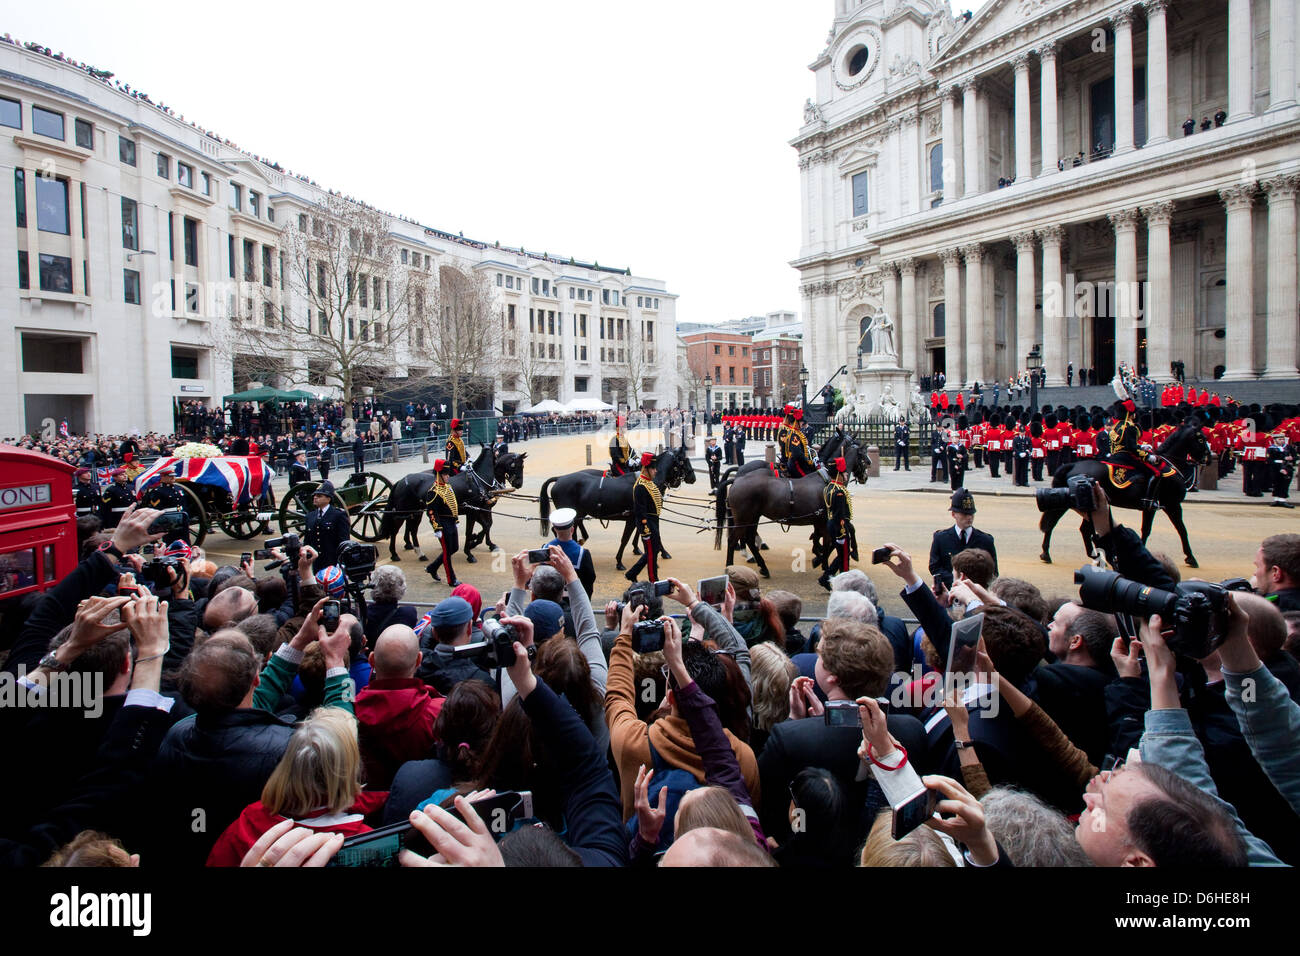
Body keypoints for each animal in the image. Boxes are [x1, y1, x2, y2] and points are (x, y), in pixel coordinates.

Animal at [379, 447, 527, 561]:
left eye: (522, 466)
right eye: (516, 466)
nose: (519, 484)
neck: (482, 480)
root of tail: (401, 480)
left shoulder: (484, 508)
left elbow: (488, 525)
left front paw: (487, 543)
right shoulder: (475, 510)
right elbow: (482, 527)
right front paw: (473, 544)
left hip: (416, 512)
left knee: (412, 529)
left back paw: (417, 550)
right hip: (402, 511)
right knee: (395, 530)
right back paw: (394, 553)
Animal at [538, 447, 696, 572]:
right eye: (683, 460)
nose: (692, 477)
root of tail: (560, 478)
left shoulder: (641, 517)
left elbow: (645, 535)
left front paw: (645, 551)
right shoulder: (635, 518)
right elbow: (627, 539)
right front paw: (620, 561)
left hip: (578, 514)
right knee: (559, 531)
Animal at [717, 434, 868, 582]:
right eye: (863, 455)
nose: (865, 476)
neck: (828, 478)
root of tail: (737, 478)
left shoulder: (822, 520)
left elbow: (827, 538)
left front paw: (819, 553)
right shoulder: (828, 519)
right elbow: (834, 539)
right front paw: (825, 561)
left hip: (753, 517)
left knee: (748, 537)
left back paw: (761, 565)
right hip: (744, 518)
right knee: (734, 539)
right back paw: (732, 566)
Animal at [1034, 421, 1206, 567]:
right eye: (1201, 439)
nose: (1208, 458)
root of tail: (1072, 465)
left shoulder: (1151, 507)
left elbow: (1147, 529)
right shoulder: (1171, 505)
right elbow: (1181, 530)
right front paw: (1191, 557)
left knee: (1074, 527)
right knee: (1060, 524)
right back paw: (1051, 553)